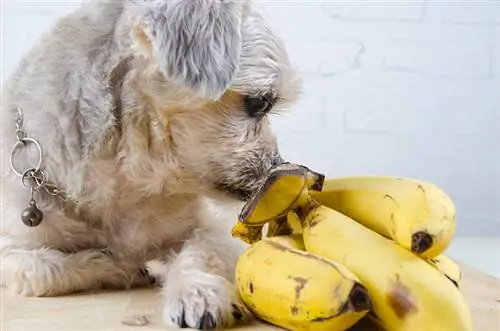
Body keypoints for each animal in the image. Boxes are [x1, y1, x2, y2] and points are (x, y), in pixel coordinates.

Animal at [0, 1, 300, 330]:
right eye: (260, 103)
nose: (279, 167)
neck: (128, 178)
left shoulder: (213, 231)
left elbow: (197, 251)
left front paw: (197, 291)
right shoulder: (12, 247)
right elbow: (40, 271)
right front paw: (114, 265)